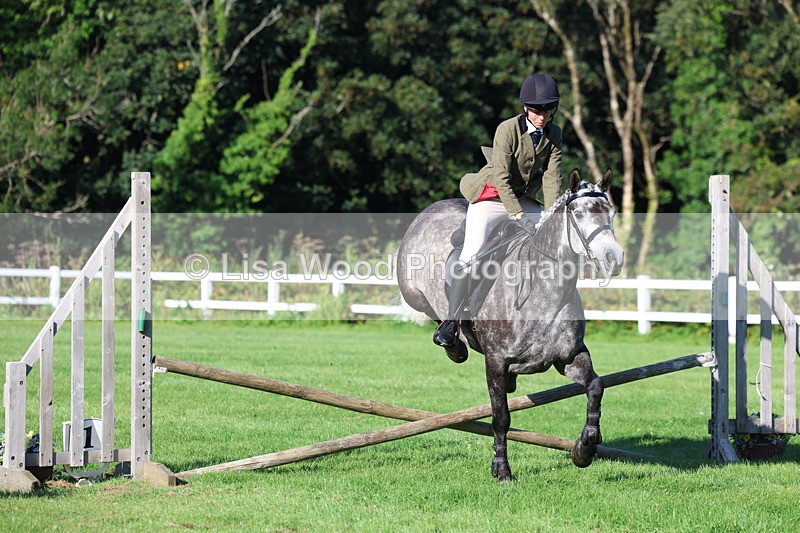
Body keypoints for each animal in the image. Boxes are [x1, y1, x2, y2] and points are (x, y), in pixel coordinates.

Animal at [396, 169, 623, 482]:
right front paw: (502, 469)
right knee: (437, 310)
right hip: (415, 293)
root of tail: (433, 207)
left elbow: (596, 386)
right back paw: (453, 344)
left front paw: (584, 449)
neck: (545, 291)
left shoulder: (570, 356)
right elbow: (501, 416)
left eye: (611, 212)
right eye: (578, 214)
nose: (614, 258)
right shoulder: (496, 361)